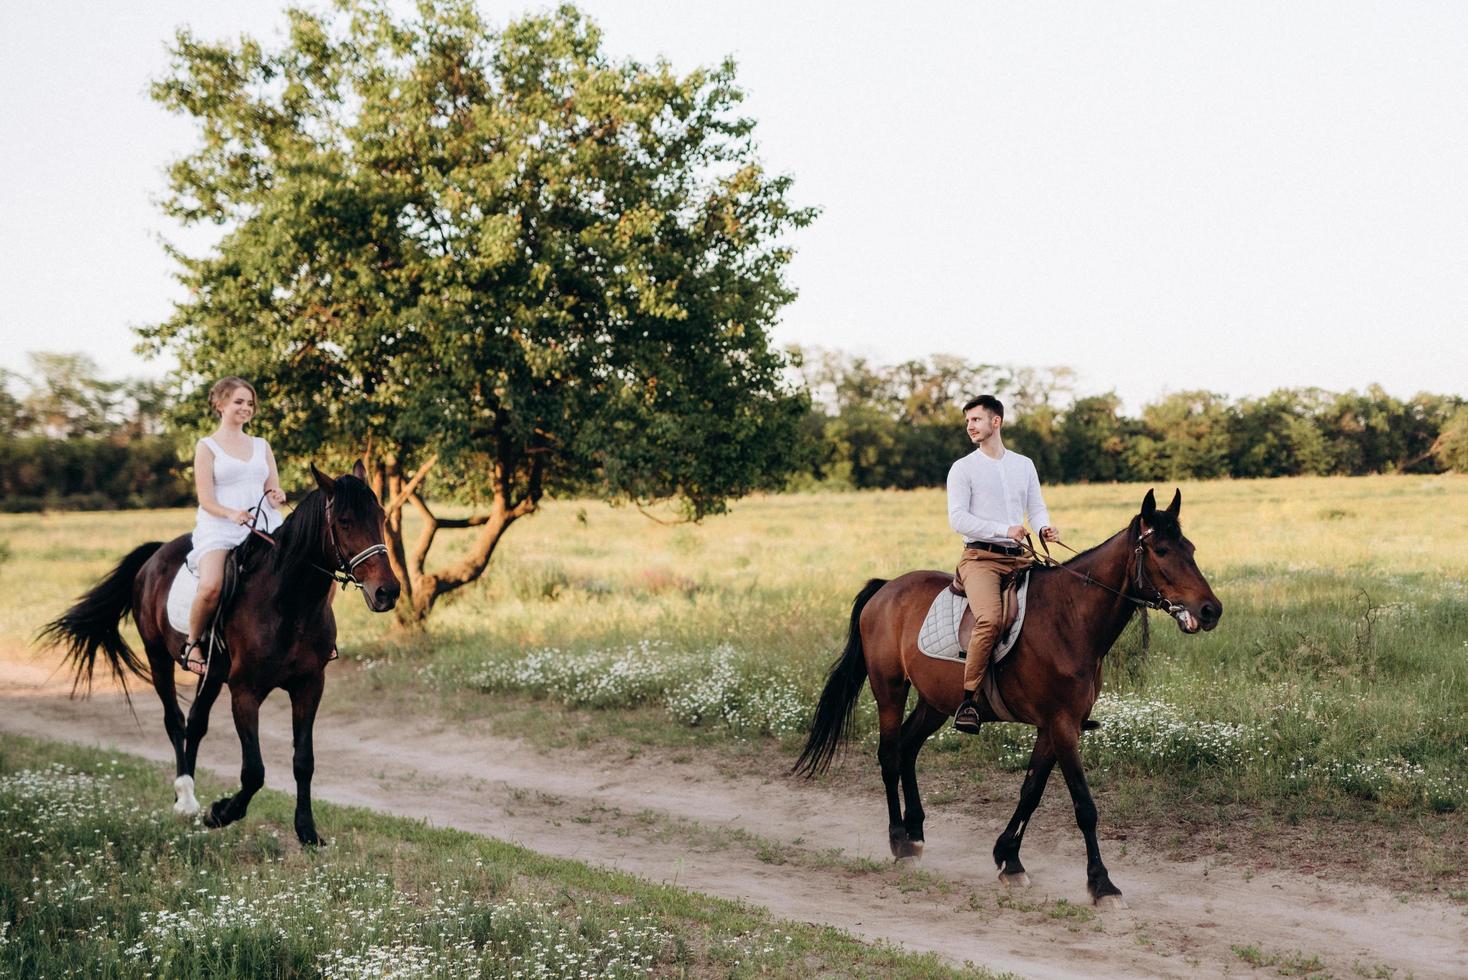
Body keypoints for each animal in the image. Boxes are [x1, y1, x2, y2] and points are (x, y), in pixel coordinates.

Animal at [41, 463, 396, 845]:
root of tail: (156, 554)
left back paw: (185, 796)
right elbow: (254, 770)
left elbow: (304, 760)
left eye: (380, 515)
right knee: (175, 721)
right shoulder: (245, 692)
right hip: (158, 656)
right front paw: (221, 813)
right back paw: (185, 800)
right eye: (344, 521)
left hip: (210, 673)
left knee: (196, 723)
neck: (286, 603)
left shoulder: (309, 686)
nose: (388, 592)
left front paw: (307, 831)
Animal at [798, 487, 1221, 909]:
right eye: (1162, 551)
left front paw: (1009, 859)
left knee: (907, 748)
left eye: (1191, 548)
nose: (1210, 610)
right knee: (888, 755)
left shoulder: (1056, 727)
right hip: (890, 689)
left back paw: (916, 833)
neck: (1069, 619)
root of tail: (886, 589)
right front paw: (1102, 884)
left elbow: (1030, 792)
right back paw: (899, 842)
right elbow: (1084, 806)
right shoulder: (1061, 726)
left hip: (934, 702)